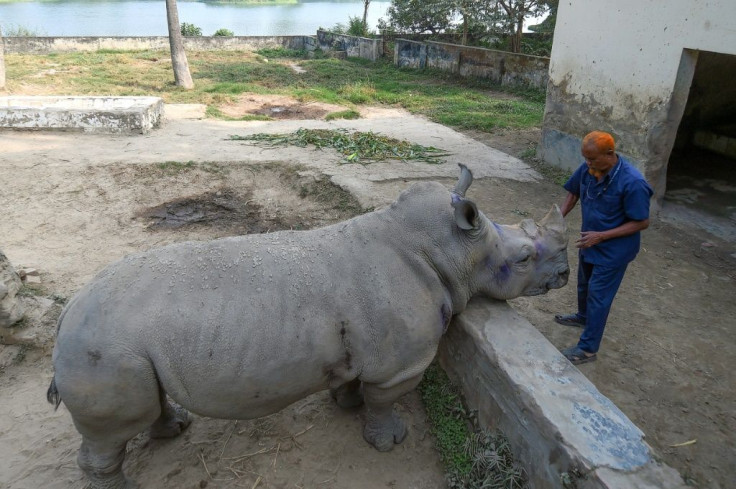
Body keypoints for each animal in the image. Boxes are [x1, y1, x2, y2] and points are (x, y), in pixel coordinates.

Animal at [46, 165, 568, 488]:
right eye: (524, 258)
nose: (564, 274)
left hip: (119, 346)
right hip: (102, 346)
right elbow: (385, 400)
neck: (450, 249)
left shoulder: (367, 348)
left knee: (142, 403)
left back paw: (175, 428)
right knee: (112, 431)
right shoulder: (400, 364)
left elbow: (356, 380)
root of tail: (65, 317)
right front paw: (389, 442)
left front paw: (346, 404)